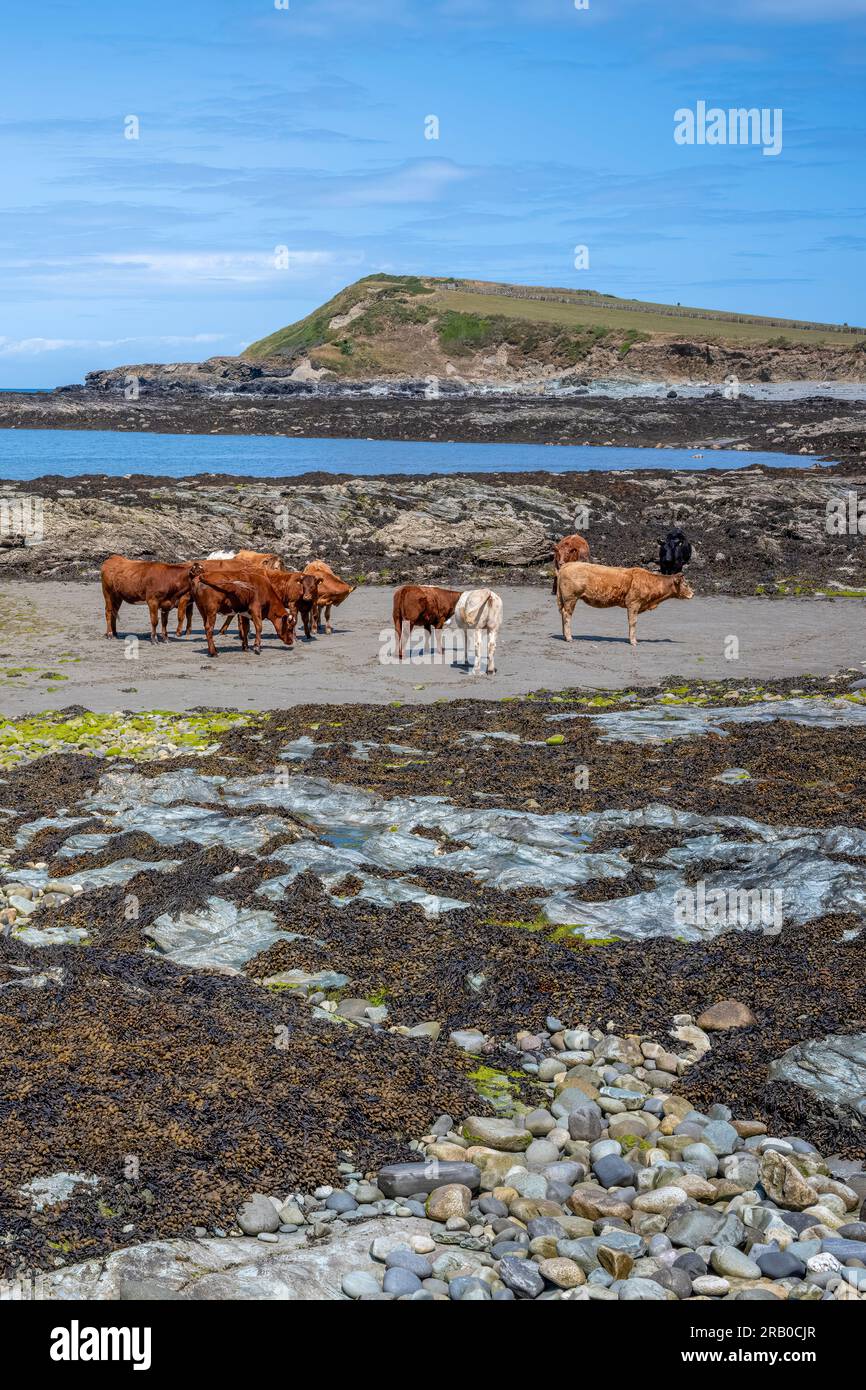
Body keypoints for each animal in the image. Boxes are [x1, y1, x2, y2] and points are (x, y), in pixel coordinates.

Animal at [556, 561, 694, 646]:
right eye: (686, 584)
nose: (693, 593)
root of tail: (568, 564)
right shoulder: (634, 603)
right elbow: (633, 622)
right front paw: (633, 641)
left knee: (562, 613)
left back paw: (564, 636)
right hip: (571, 598)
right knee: (567, 614)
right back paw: (569, 637)